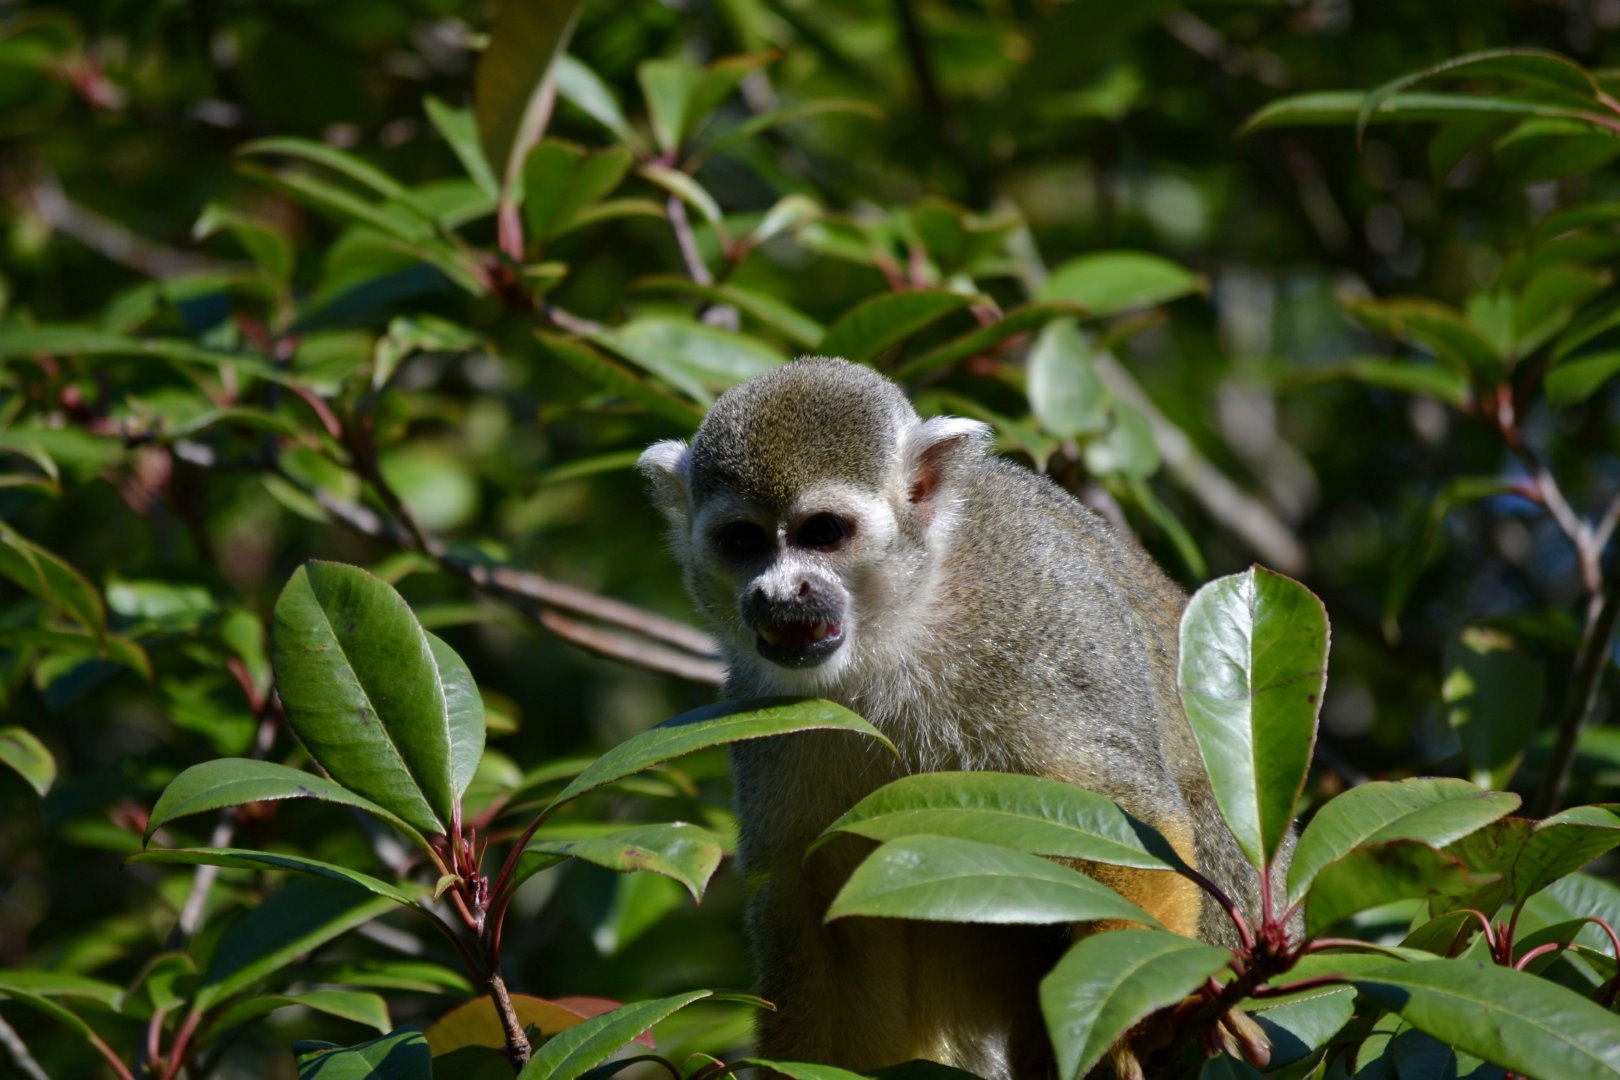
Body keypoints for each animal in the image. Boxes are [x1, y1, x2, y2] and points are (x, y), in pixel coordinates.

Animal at [638, 357, 1279, 1080]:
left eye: (823, 533)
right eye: (743, 541)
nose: (777, 593)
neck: (897, 629)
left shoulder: (1043, 611)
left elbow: (1127, 816)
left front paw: (1143, 1017)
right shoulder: (763, 707)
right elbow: (820, 891)